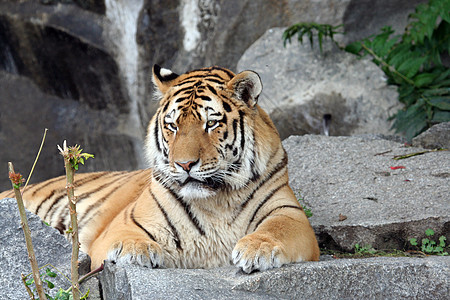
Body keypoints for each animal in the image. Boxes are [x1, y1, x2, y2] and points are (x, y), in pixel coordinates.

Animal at [1, 65, 322, 272]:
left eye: (211, 123)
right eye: (173, 125)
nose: (184, 164)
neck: (217, 199)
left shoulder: (291, 215)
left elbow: (276, 228)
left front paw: (258, 249)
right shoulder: (124, 223)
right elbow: (126, 237)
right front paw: (134, 251)